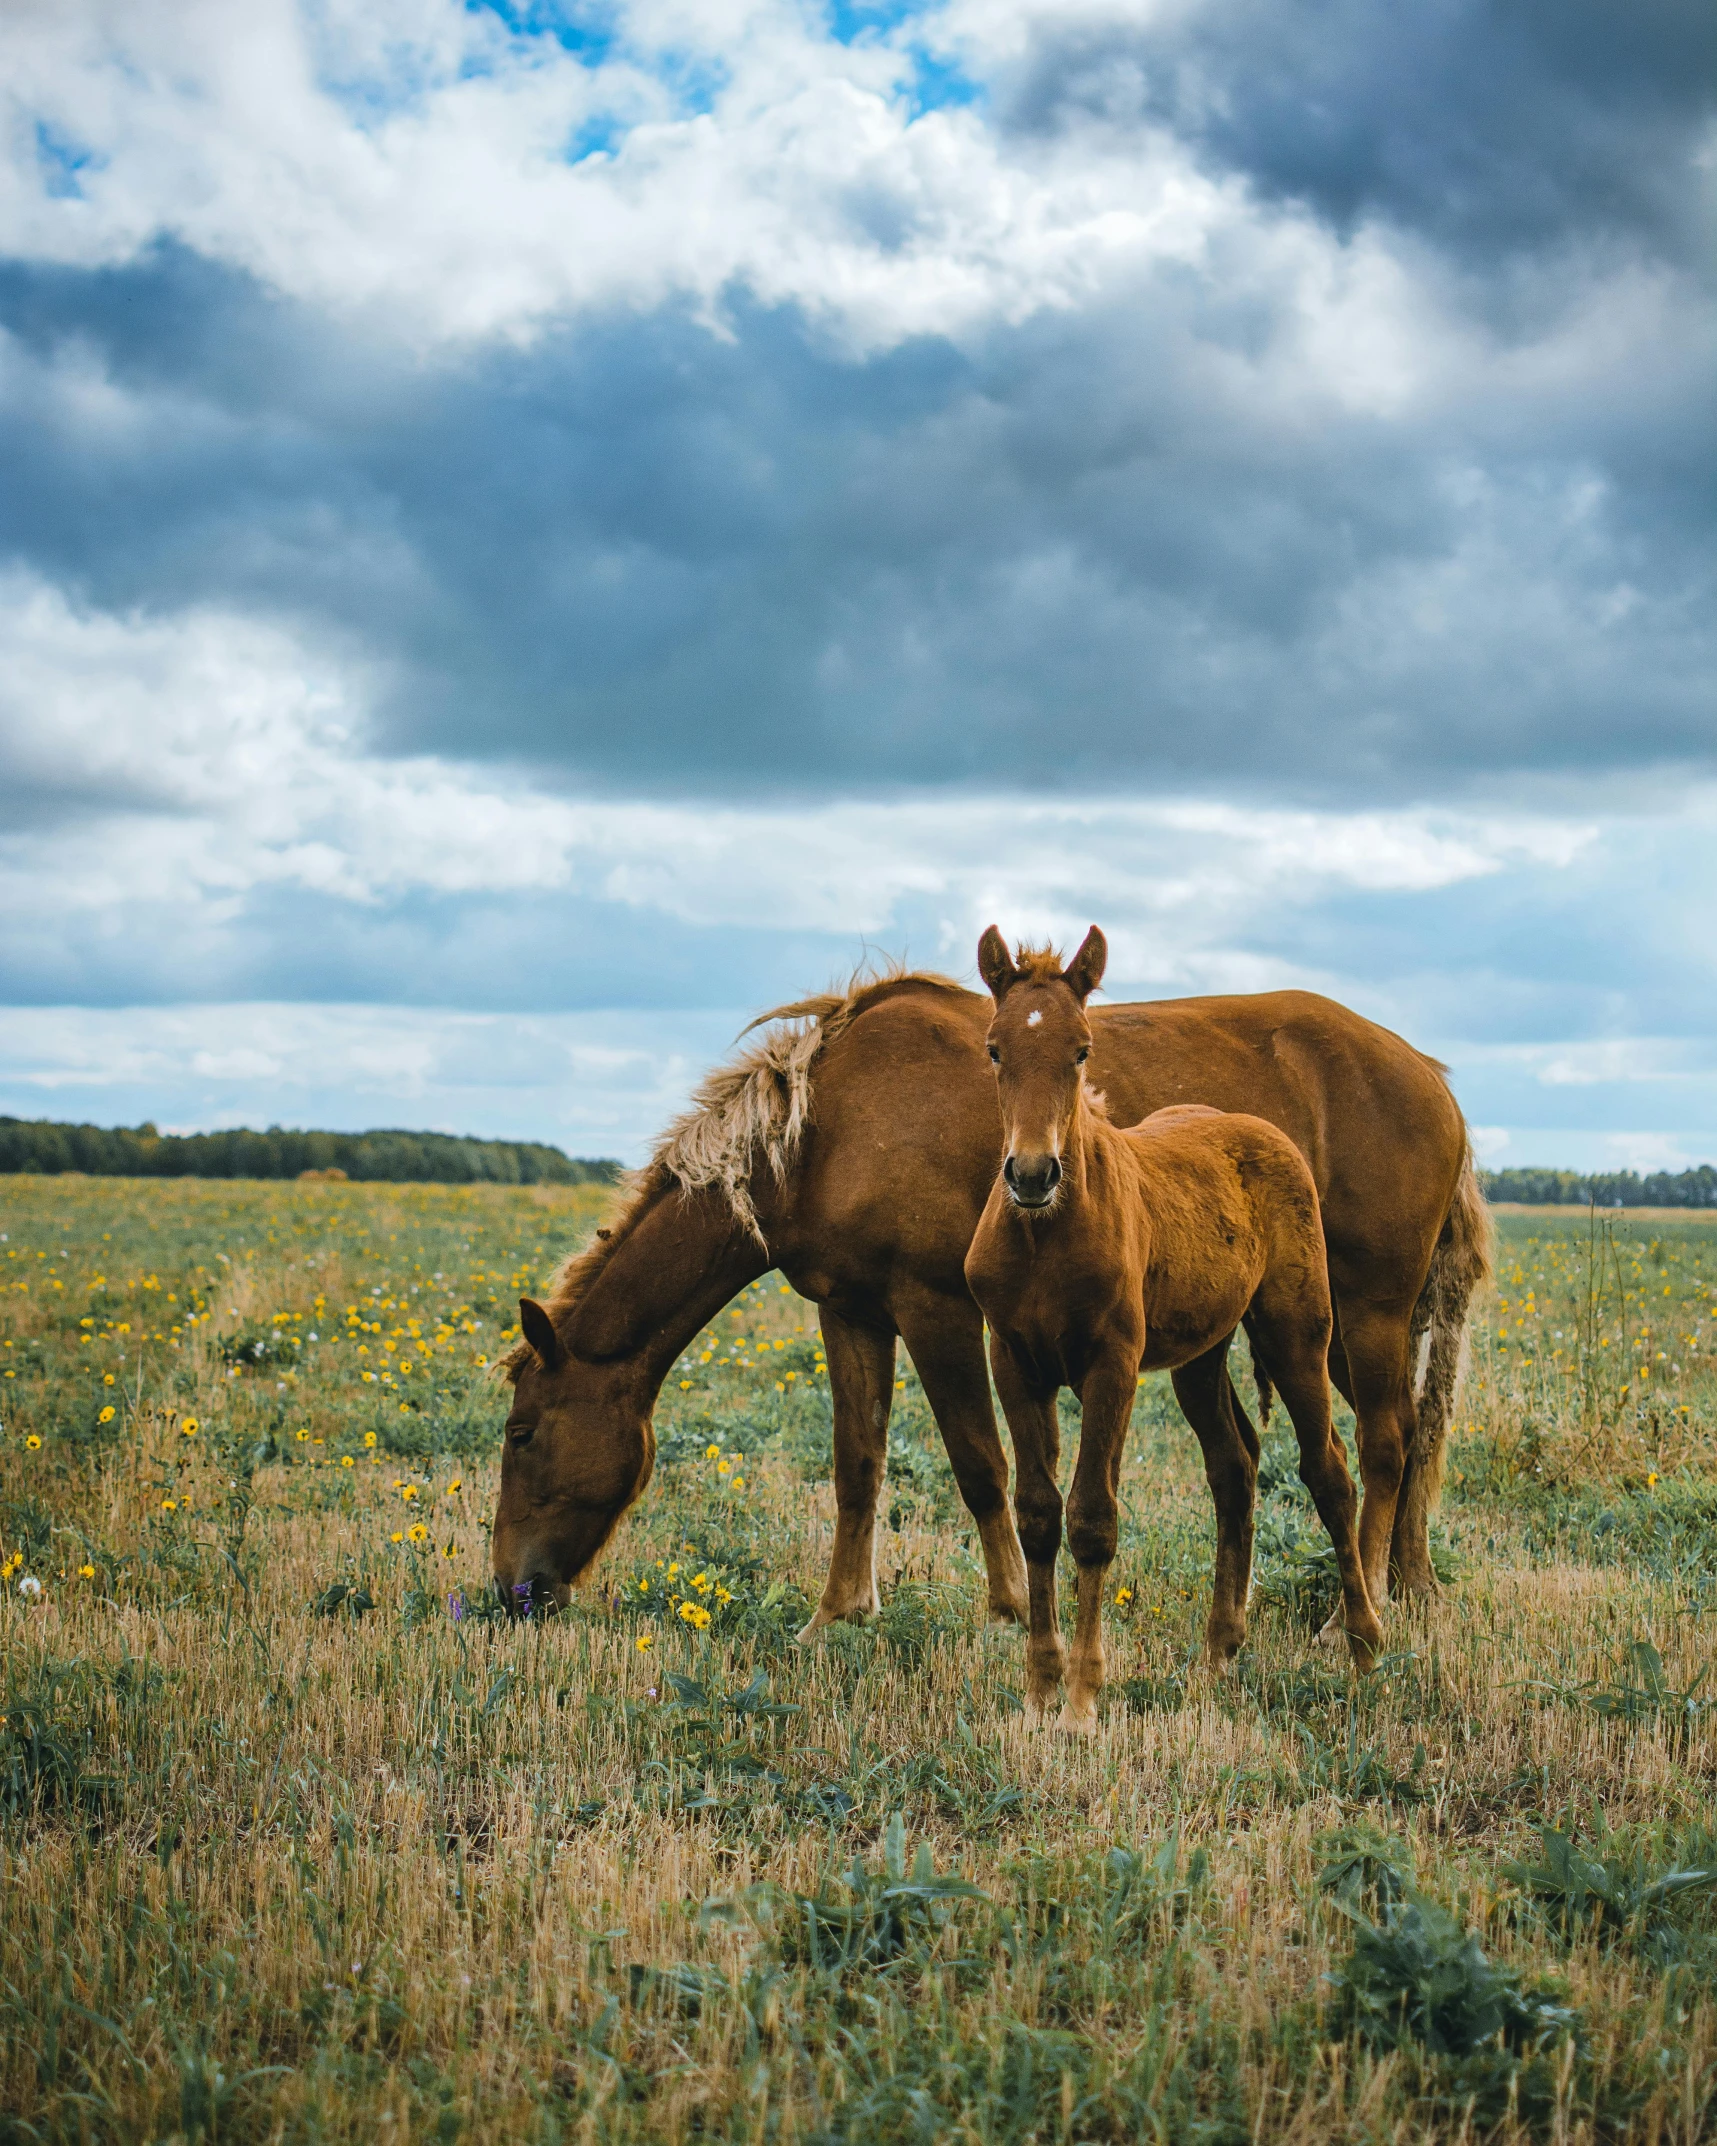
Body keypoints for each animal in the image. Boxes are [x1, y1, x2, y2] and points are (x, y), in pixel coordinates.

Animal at [493, 957, 1485, 1622]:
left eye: (521, 1432)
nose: (510, 1590)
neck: (826, 1129)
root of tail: (1430, 1080)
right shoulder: (849, 1313)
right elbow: (857, 1465)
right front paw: (837, 1614)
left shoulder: (935, 1310)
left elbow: (980, 1466)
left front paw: (1009, 1607)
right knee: (1384, 1438)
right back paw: (1402, 1586)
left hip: (1361, 1314)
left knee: (1386, 1442)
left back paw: (1356, 1608)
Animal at [965, 931, 1382, 1733]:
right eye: (995, 1050)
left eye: (1082, 1051)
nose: (1031, 1174)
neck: (1044, 1236)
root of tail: (1262, 1130)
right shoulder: (1013, 1362)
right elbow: (1037, 1514)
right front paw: (1038, 1691)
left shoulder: (1112, 1364)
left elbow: (1092, 1518)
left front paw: (1082, 1702)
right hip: (1200, 1355)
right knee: (1235, 1466)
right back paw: (1219, 1649)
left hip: (1295, 1332)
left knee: (1328, 1470)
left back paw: (1364, 1643)